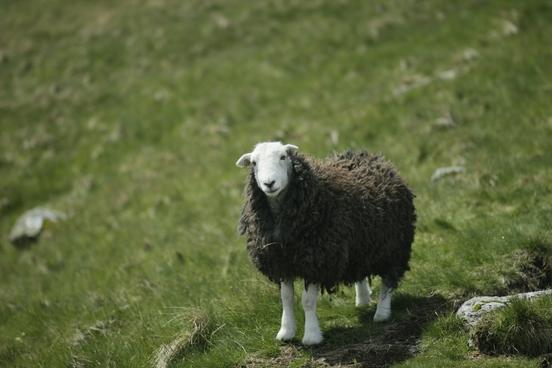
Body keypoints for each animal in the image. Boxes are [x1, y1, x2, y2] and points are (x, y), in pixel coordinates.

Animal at [235, 141, 416, 344]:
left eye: (283, 157)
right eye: (254, 163)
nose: (269, 183)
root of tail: (372, 157)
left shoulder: (318, 261)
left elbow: (307, 301)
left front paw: (312, 336)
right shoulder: (282, 263)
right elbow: (286, 298)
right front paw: (286, 332)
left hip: (394, 246)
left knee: (389, 280)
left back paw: (382, 313)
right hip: (359, 245)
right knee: (360, 271)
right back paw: (362, 300)